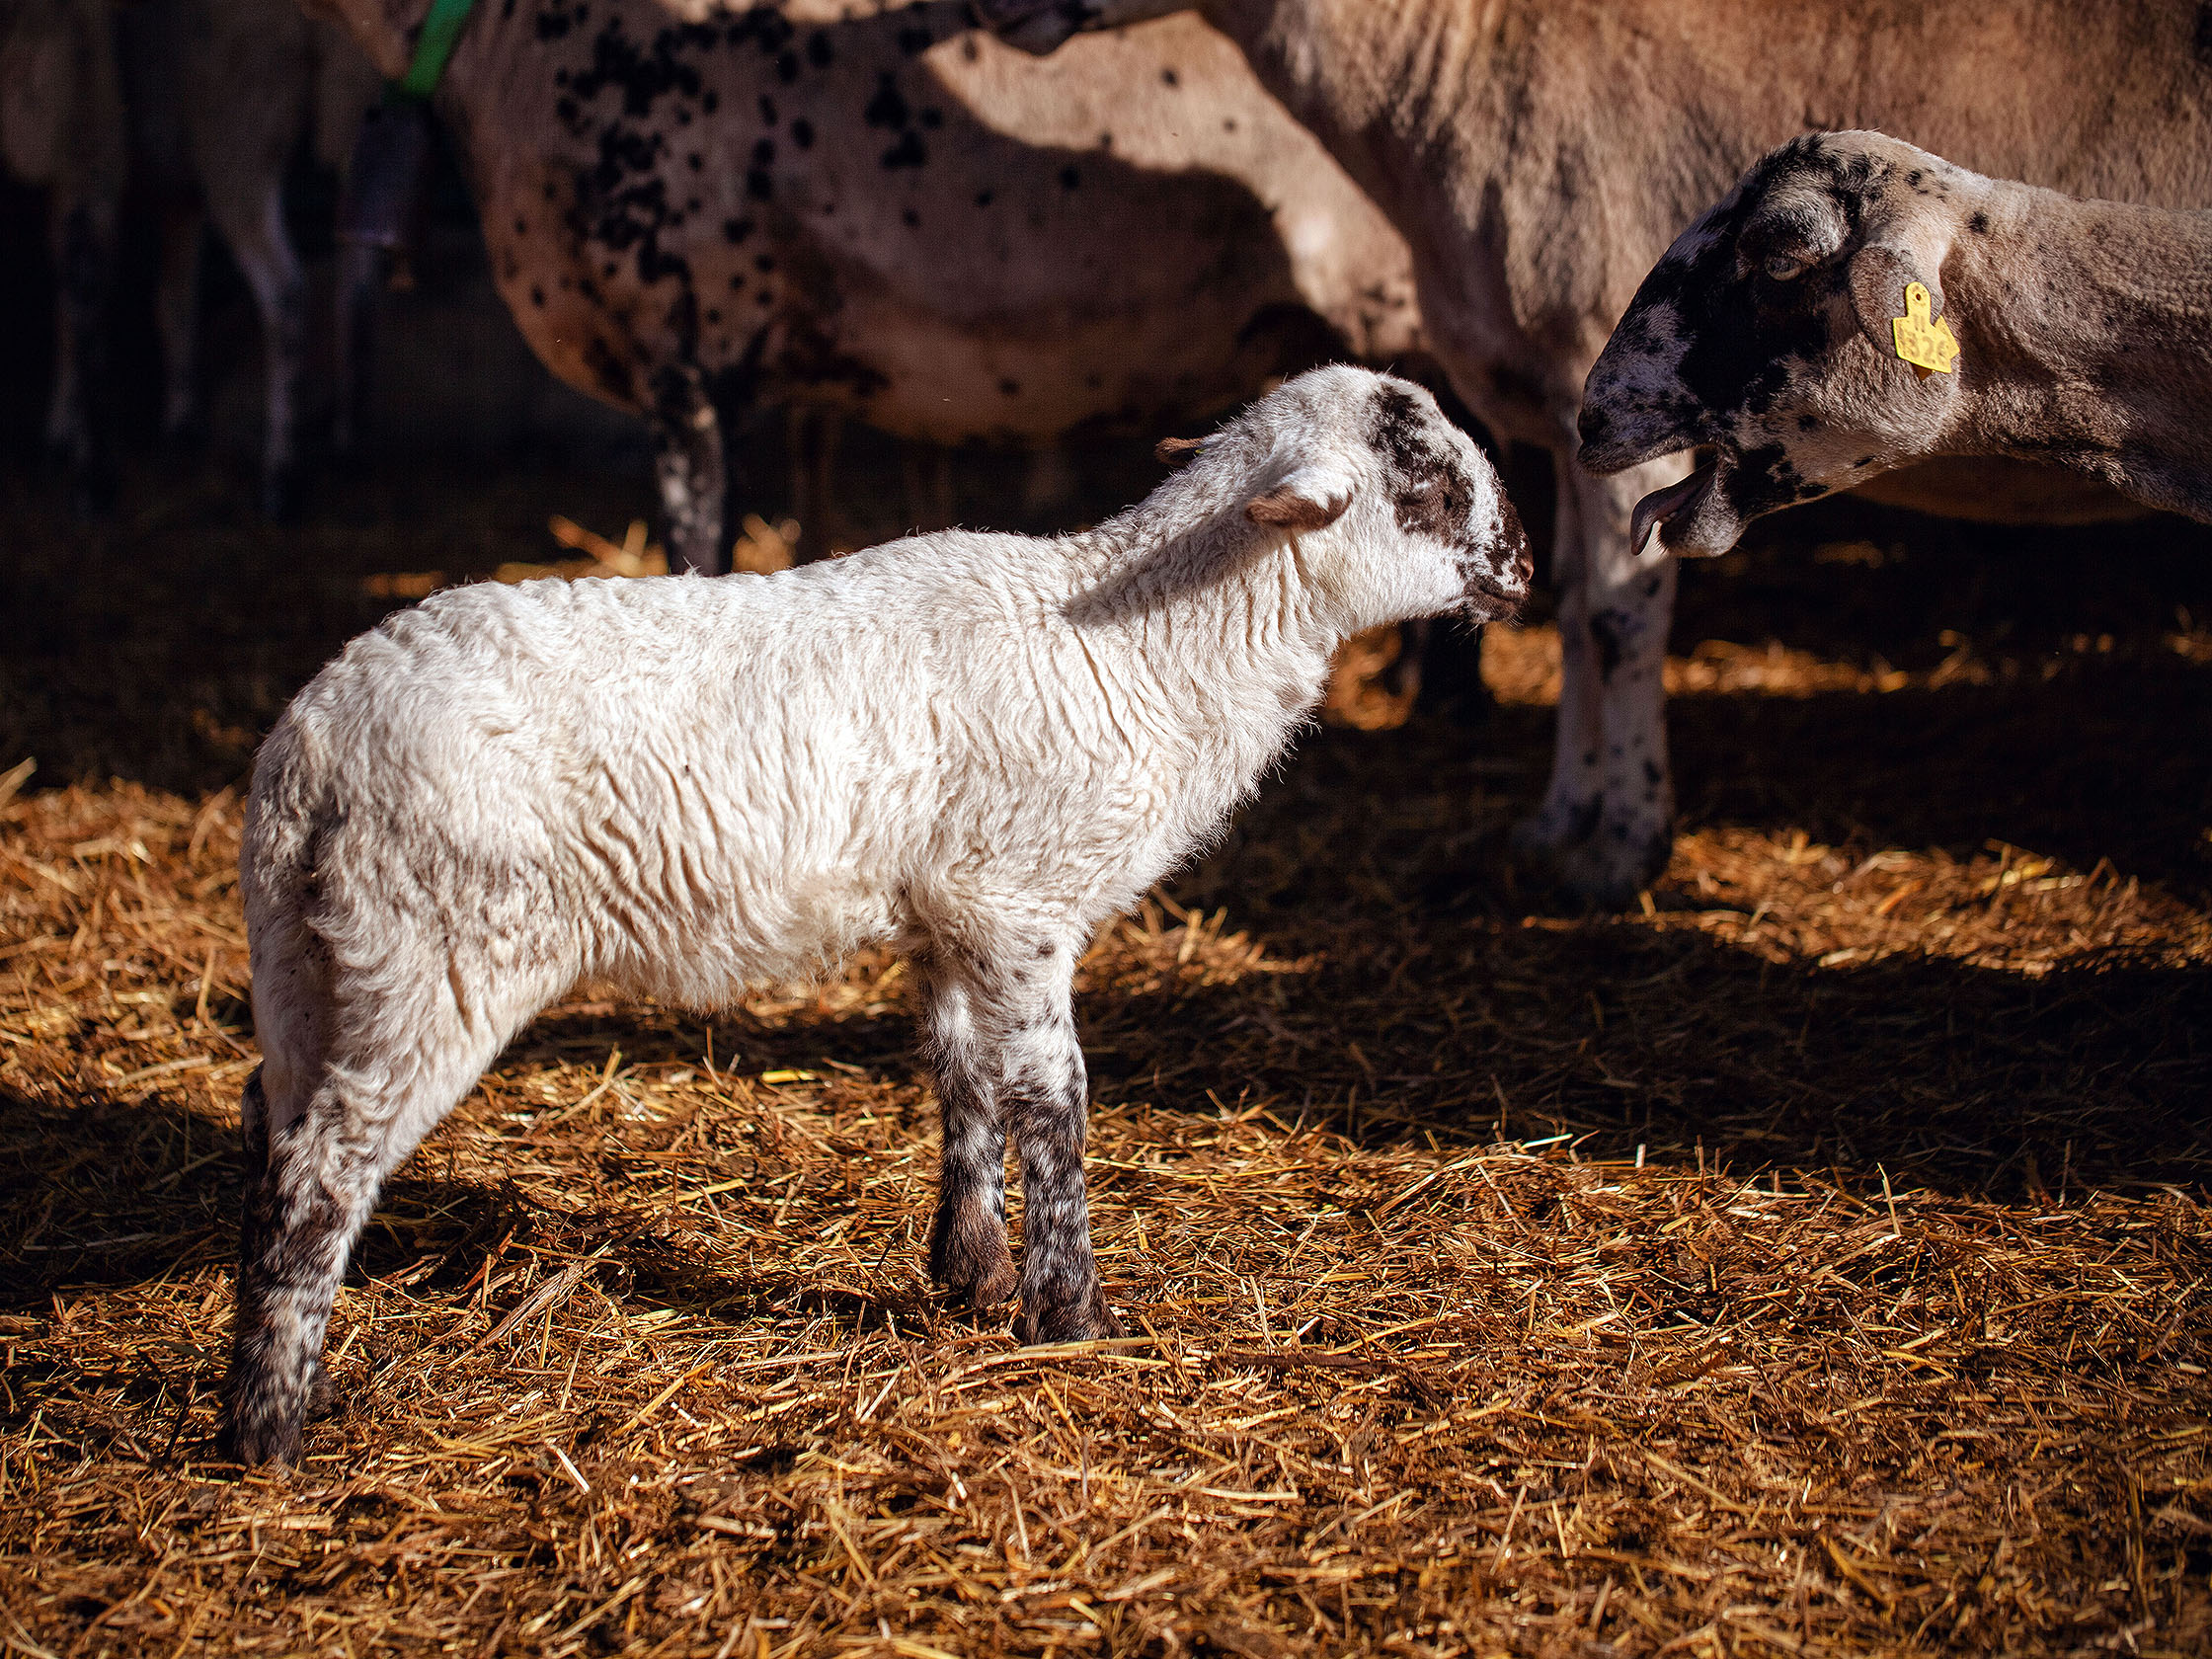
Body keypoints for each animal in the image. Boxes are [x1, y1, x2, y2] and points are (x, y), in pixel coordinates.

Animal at [228, 362, 1540, 1468]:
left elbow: (963, 1085)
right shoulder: (1019, 902)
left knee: (270, 1117)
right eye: (1428, 489)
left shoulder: (949, 909)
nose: (1528, 567)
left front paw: (970, 1274)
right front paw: (1070, 1315)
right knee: (326, 1165)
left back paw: (268, 1368)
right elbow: (1053, 1102)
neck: (1140, 650)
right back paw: (270, 1432)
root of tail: (313, 741)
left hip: (317, 952)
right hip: (439, 948)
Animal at [982, 0, 2212, 902]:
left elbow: (1619, 622)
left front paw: (1622, 846)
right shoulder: (1560, 409)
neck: (1456, 72)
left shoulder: (1600, 389)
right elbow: (1568, 606)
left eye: (1776, 254)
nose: (986, 10)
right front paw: (1558, 820)